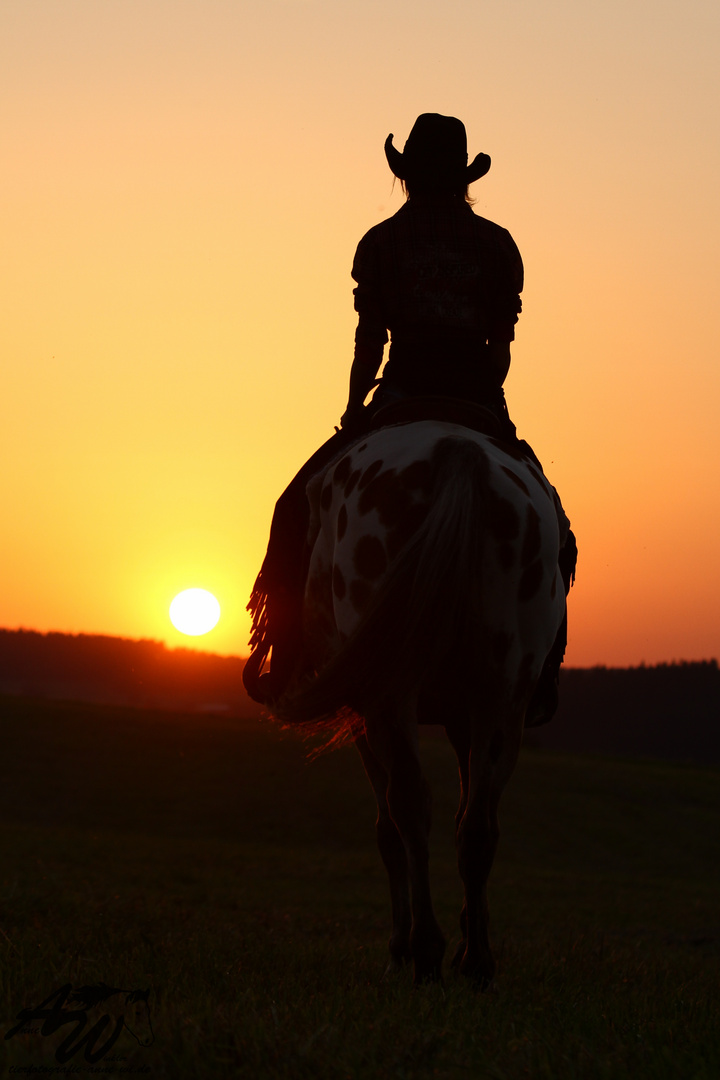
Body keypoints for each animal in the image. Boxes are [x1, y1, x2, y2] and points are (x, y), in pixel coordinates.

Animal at [273, 419, 569, 989]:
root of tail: (458, 452)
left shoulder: (364, 711)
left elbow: (388, 827)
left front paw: (400, 949)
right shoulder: (463, 714)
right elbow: (465, 815)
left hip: (390, 693)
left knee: (409, 807)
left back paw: (425, 950)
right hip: (503, 692)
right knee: (477, 826)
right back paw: (475, 962)